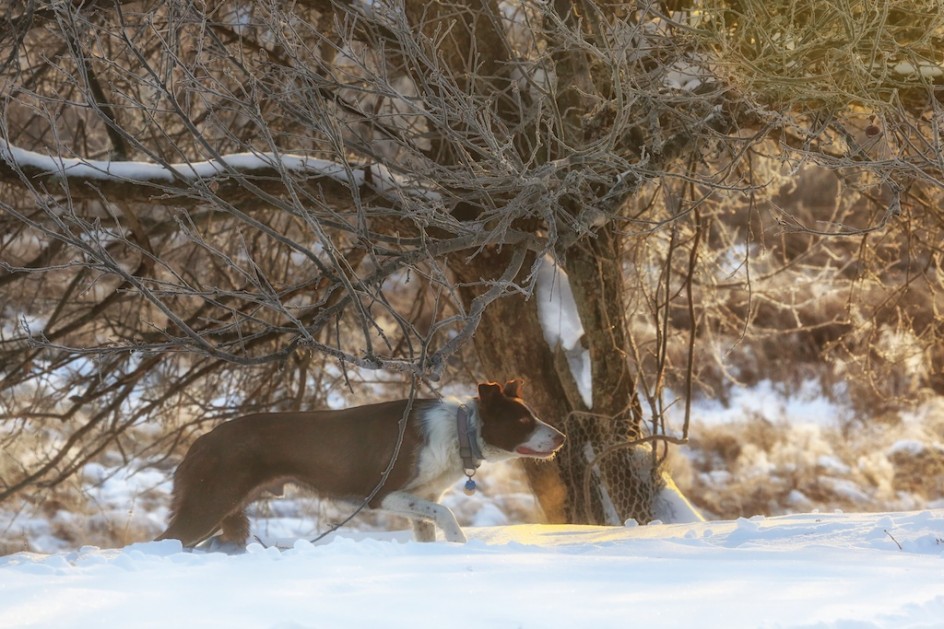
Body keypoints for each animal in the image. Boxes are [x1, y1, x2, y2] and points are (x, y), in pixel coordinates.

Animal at [158, 378, 564, 544]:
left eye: (532, 414)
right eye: (523, 421)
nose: (561, 437)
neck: (460, 431)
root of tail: (199, 443)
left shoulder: (422, 501)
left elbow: (429, 526)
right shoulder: (384, 495)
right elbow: (448, 516)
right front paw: (460, 543)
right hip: (209, 503)